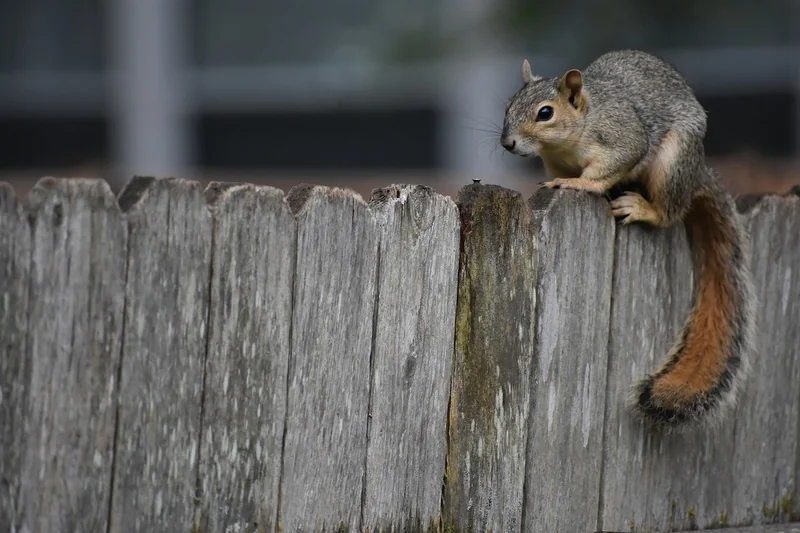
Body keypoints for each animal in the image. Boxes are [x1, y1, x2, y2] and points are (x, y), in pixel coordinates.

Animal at [500, 51, 756, 428]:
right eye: (508, 105)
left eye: (545, 113)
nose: (508, 143)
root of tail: (697, 172)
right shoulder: (555, 161)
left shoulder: (622, 138)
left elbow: (609, 167)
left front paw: (579, 184)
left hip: (672, 164)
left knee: (669, 212)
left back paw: (643, 208)